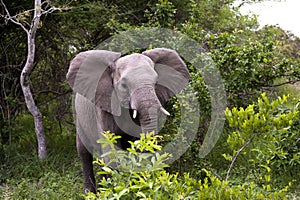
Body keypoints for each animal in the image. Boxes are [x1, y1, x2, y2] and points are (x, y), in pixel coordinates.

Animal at [67, 47, 190, 193]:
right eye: (124, 85)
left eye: (156, 82)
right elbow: (110, 148)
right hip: (78, 115)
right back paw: (90, 194)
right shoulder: (105, 106)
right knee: (84, 152)